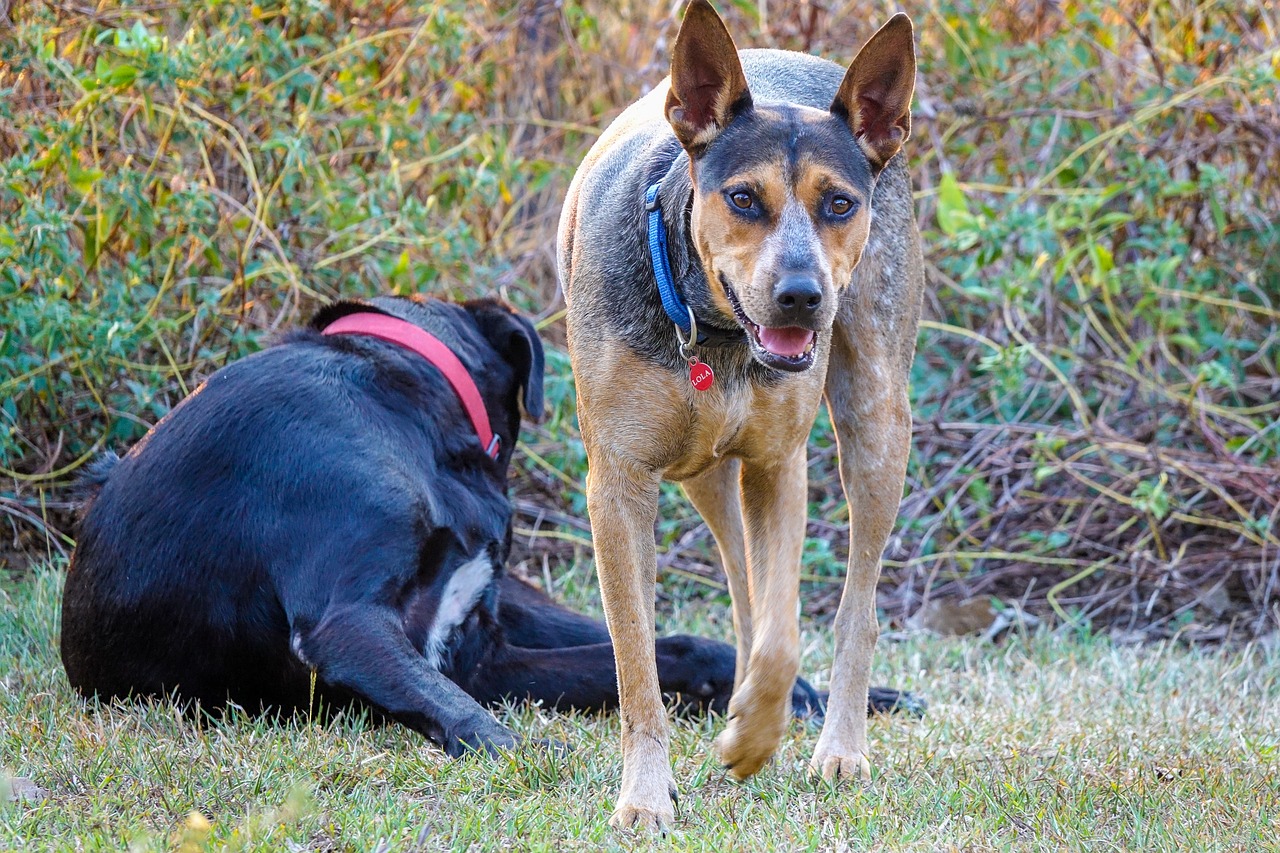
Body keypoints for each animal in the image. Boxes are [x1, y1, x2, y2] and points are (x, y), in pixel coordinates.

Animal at [62, 295, 921, 753]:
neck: (405, 399)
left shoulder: (482, 642)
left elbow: (650, 652)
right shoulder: (354, 626)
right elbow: (462, 709)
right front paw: (528, 752)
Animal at [555, 0, 926, 824]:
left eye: (839, 203)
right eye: (744, 198)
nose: (801, 296)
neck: (710, 328)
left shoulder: (777, 465)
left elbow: (785, 634)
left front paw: (756, 737)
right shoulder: (619, 483)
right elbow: (636, 658)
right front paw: (645, 795)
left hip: (876, 420)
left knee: (854, 606)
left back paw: (835, 746)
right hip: (702, 475)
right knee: (741, 587)